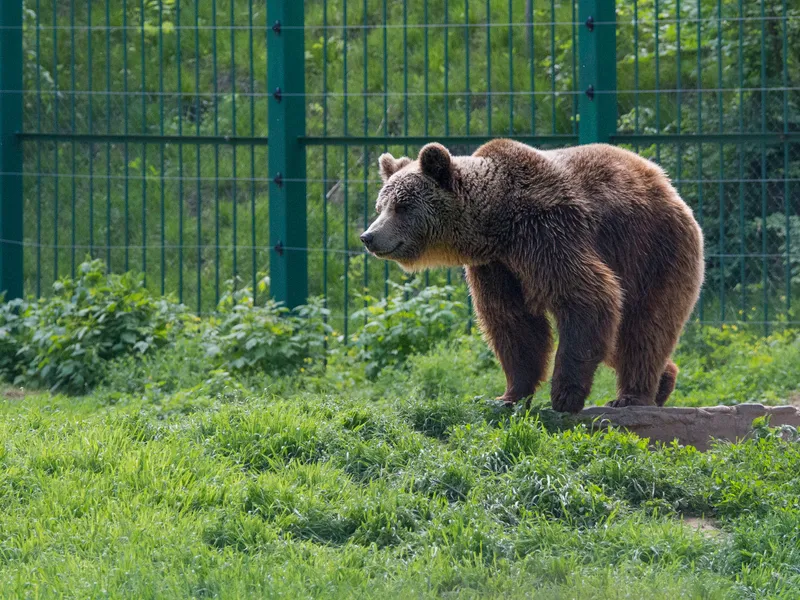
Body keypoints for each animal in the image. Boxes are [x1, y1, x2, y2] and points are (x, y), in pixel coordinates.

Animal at [360, 140, 704, 412]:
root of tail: (666, 184)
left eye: (402, 206)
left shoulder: (547, 231)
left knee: (644, 326)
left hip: (654, 251)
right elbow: (514, 323)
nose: (369, 236)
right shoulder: (496, 267)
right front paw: (507, 396)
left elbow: (588, 296)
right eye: (380, 205)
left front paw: (564, 396)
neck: (497, 223)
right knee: (619, 338)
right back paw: (663, 382)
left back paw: (631, 395)